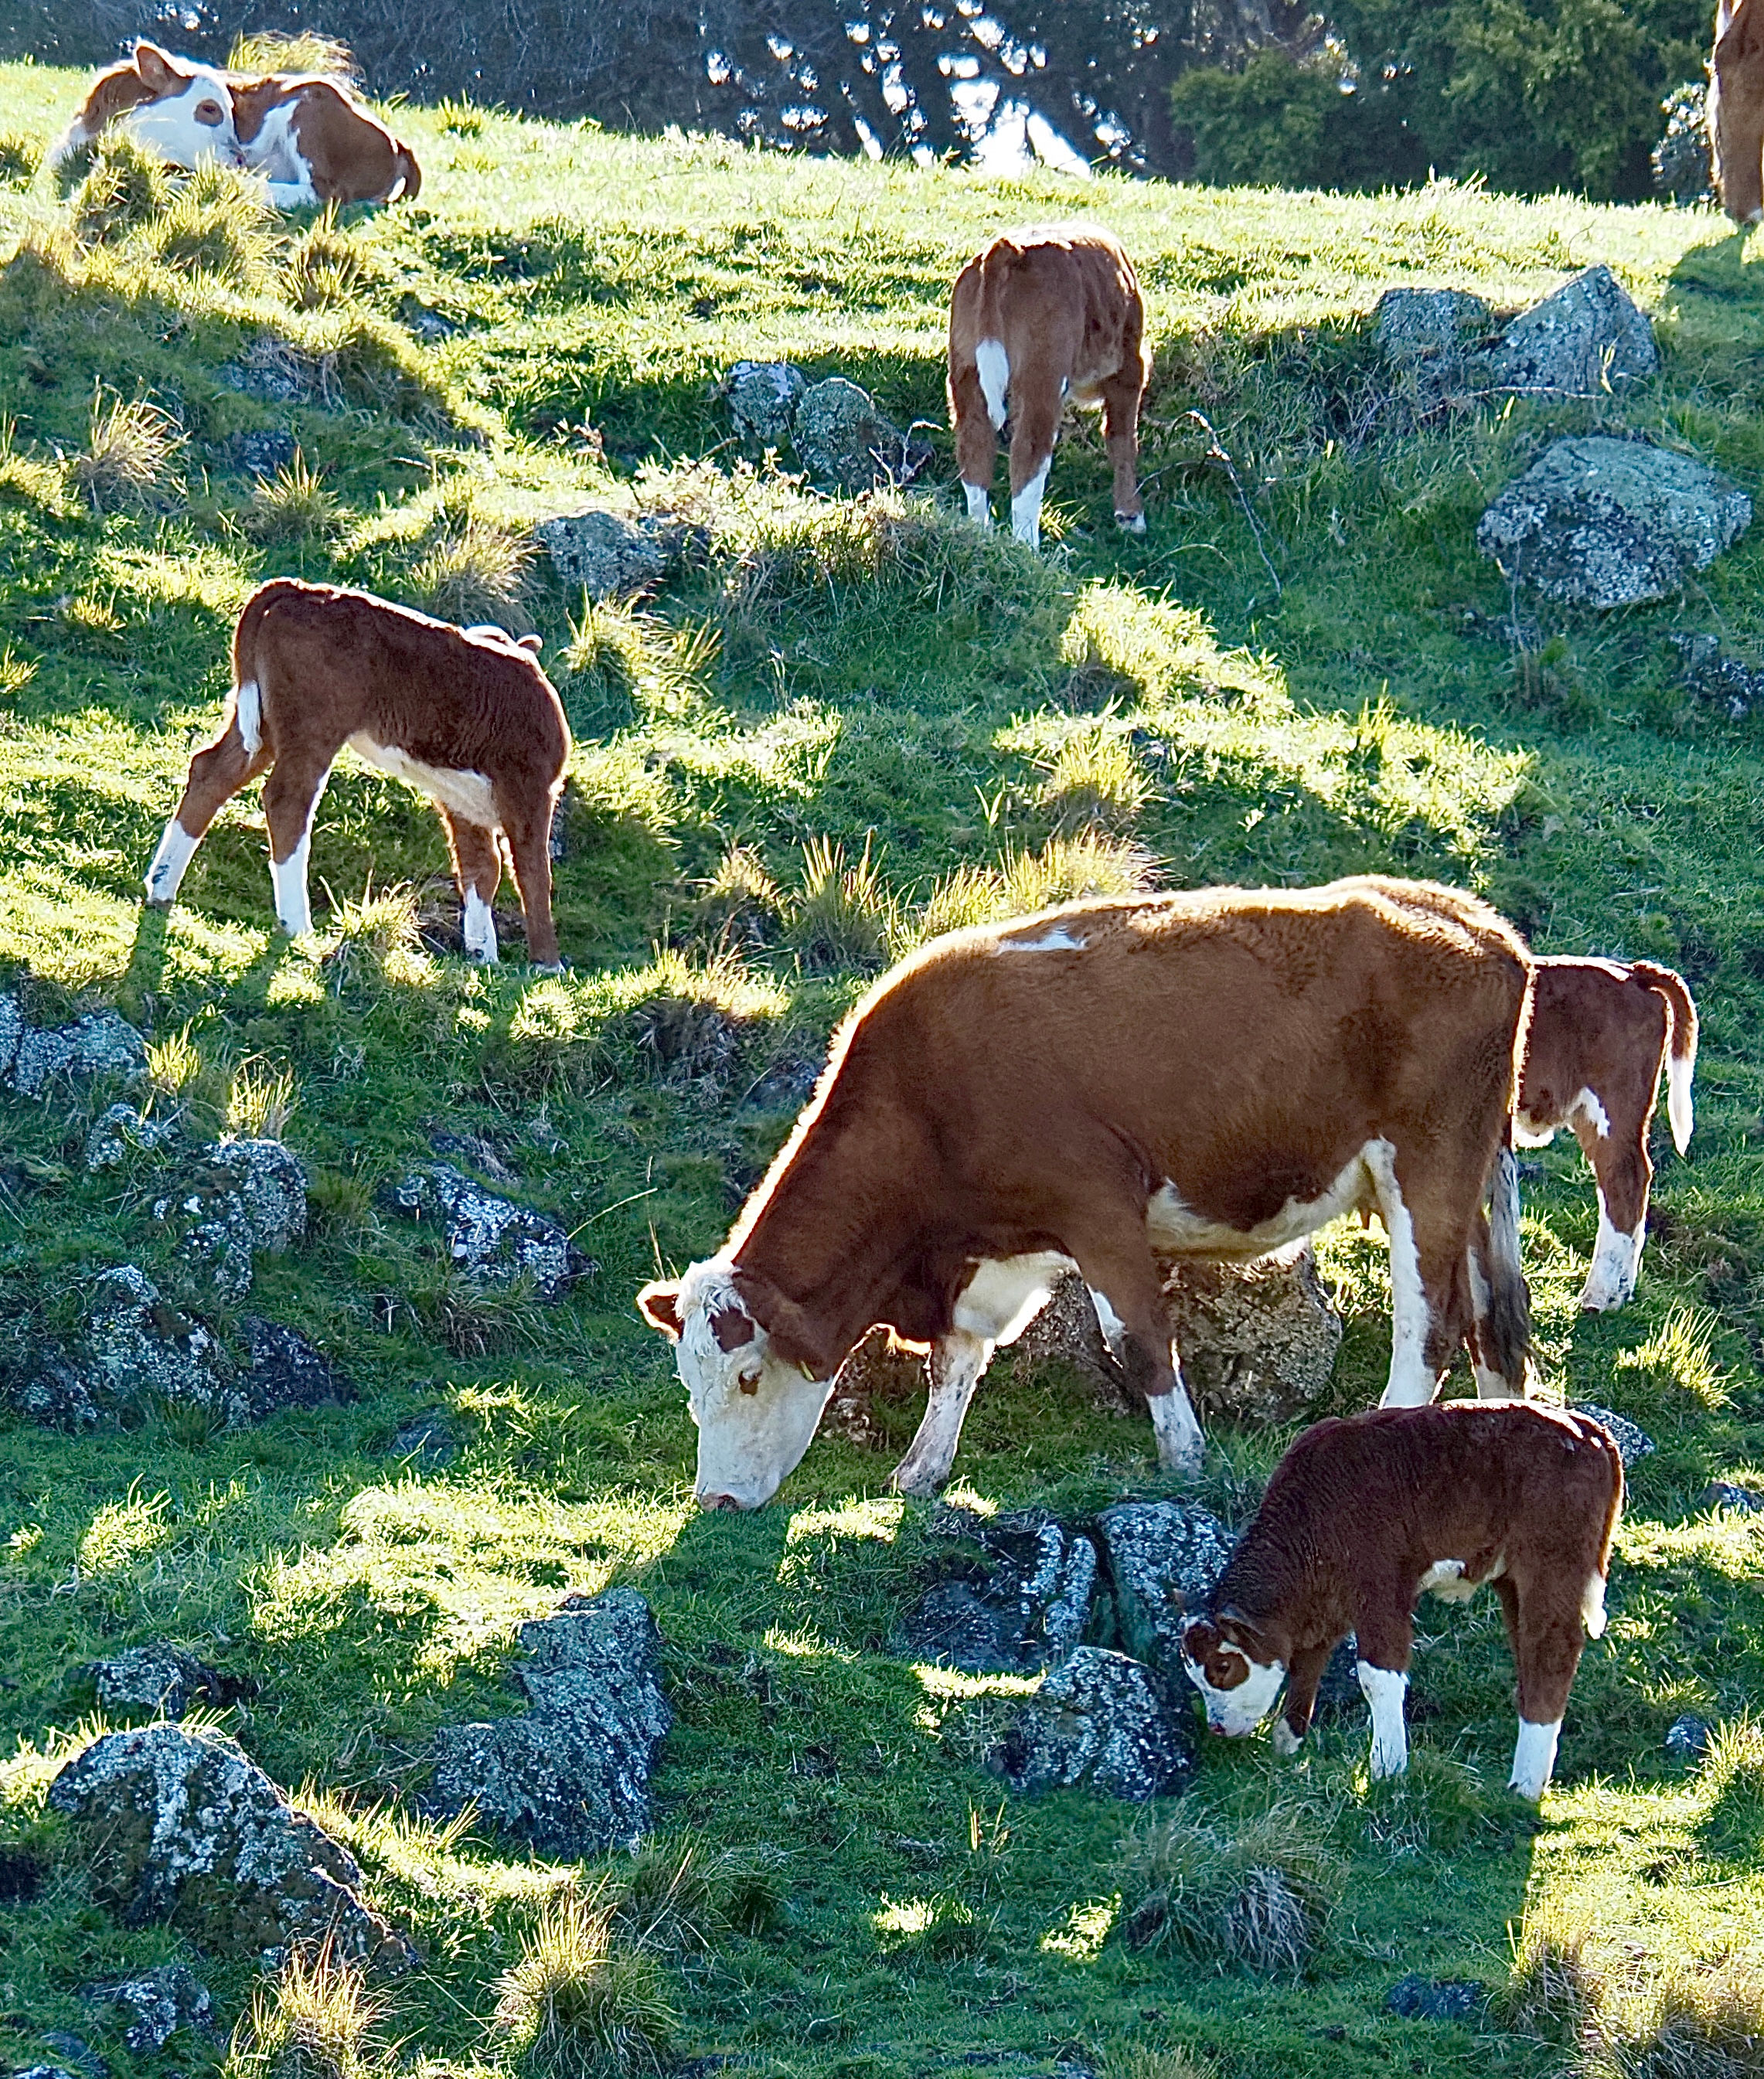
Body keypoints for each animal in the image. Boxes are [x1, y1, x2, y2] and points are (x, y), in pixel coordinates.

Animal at [144, 580, 568, 968]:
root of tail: (297, 588)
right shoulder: (530, 786)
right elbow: (533, 872)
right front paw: (546, 964)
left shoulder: (463, 800)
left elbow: (483, 869)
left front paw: (484, 957)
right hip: (313, 726)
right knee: (287, 800)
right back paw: (297, 925)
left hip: (263, 725)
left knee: (210, 771)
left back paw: (161, 888)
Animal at [638, 876, 1534, 1511]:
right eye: (687, 1387)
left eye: (747, 1376)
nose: (715, 1500)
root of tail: (1474, 921)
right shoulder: (987, 1250)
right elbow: (955, 1361)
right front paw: (921, 1471)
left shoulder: (1098, 1208)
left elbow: (1139, 1339)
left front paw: (1183, 1459)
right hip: (1466, 1184)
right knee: (1493, 1326)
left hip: (1426, 1168)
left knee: (1431, 1323)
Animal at [948, 224, 1151, 552]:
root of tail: (1006, 250)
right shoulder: (1130, 367)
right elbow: (1122, 438)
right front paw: (1131, 516)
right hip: (1043, 373)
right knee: (1029, 453)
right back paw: (1028, 547)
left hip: (965, 369)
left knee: (973, 447)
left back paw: (978, 534)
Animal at [1180, 1401, 1623, 1801]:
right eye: (1193, 1675)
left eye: (1222, 1666)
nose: (1217, 1726)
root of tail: (1588, 1430)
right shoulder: (1324, 1609)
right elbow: (1307, 1666)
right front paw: (1286, 1746)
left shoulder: (1381, 1593)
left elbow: (1377, 1676)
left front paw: (1388, 1768)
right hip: (1513, 1579)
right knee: (1528, 1649)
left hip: (1552, 1565)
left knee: (1552, 1650)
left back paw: (1525, 1785)